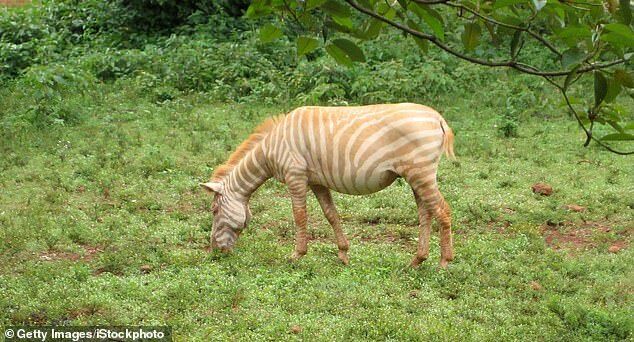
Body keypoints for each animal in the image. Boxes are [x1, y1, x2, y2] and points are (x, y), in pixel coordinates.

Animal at [202, 103, 454, 268]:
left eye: (214, 210)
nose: (215, 252)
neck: (271, 148)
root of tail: (437, 117)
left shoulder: (295, 176)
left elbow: (299, 216)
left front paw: (296, 255)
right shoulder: (317, 182)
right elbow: (331, 215)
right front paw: (343, 254)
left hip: (421, 174)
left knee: (443, 210)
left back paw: (444, 263)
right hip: (416, 177)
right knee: (426, 213)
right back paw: (417, 260)